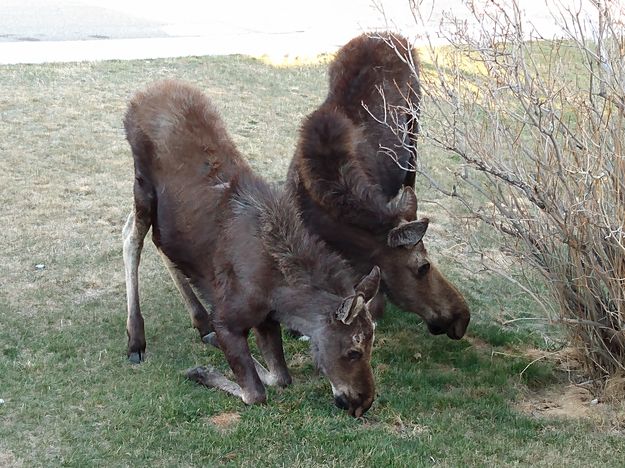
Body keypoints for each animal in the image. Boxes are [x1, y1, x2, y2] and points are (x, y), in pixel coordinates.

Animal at [120, 79, 428, 416]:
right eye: (353, 351)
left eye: (371, 345)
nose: (363, 402)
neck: (279, 294)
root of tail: (142, 94)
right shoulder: (229, 317)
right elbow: (255, 392)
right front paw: (201, 371)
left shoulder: (266, 319)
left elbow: (280, 377)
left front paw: (218, 348)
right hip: (142, 184)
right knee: (132, 236)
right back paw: (136, 340)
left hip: (165, 211)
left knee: (159, 241)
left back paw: (198, 321)